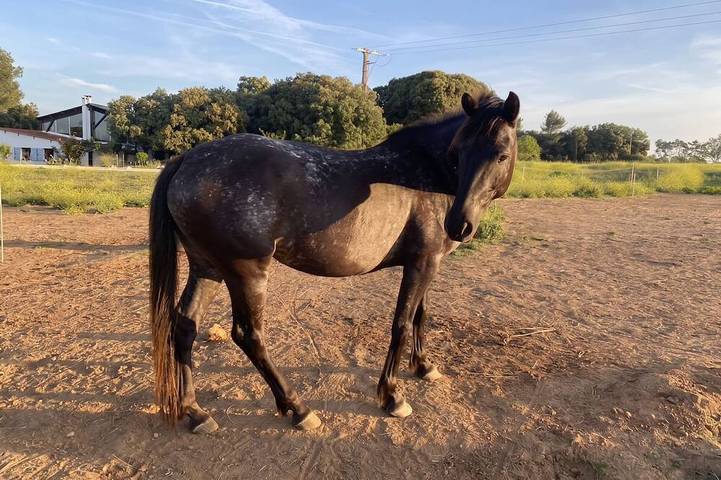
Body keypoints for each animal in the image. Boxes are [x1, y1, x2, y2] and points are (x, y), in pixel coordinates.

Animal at [149, 91, 520, 433]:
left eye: (501, 155)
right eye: (457, 153)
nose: (458, 225)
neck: (428, 172)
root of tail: (187, 160)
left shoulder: (430, 262)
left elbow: (420, 316)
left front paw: (424, 366)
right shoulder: (422, 264)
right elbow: (401, 323)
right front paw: (392, 395)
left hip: (207, 267)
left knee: (185, 325)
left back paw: (196, 412)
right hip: (246, 273)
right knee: (248, 335)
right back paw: (298, 408)